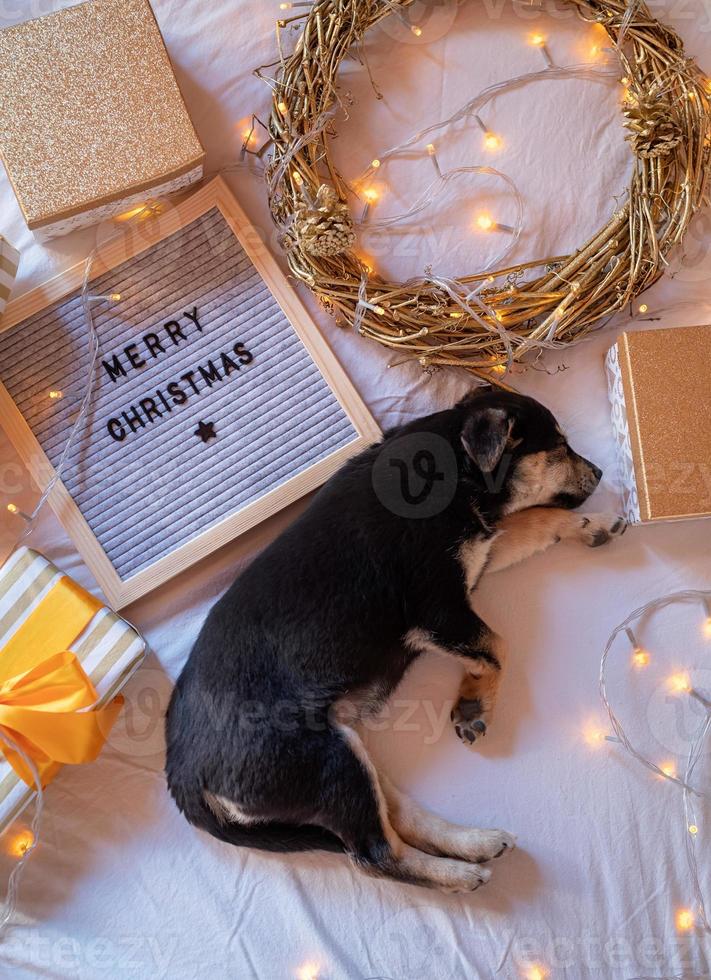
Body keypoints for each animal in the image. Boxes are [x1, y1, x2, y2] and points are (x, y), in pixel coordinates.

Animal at [165, 386, 624, 892]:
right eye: (558, 447)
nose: (601, 473)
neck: (454, 468)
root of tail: (183, 775)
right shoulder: (438, 608)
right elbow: (498, 644)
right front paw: (473, 704)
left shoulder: (476, 558)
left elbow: (534, 522)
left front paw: (593, 525)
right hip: (327, 763)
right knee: (375, 854)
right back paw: (458, 873)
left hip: (343, 752)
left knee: (398, 818)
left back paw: (474, 844)